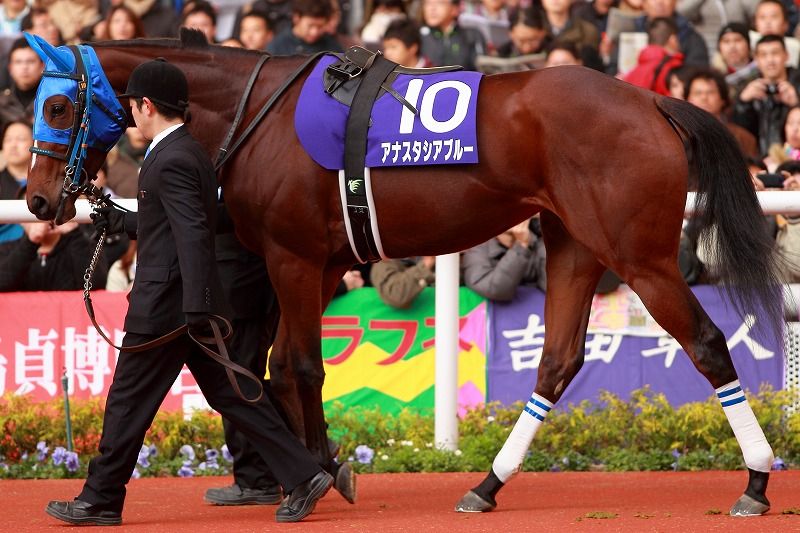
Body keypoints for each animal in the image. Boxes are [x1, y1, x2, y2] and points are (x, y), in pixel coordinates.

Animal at [23, 30, 780, 516]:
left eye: (56, 105)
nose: (36, 200)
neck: (253, 106)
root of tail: (651, 103)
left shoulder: (294, 255)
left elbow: (299, 365)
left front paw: (314, 475)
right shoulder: (317, 262)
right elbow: (276, 366)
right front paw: (315, 466)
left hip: (639, 256)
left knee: (708, 344)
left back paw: (755, 483)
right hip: (575, 244)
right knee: (558, 362)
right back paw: (486, 485)